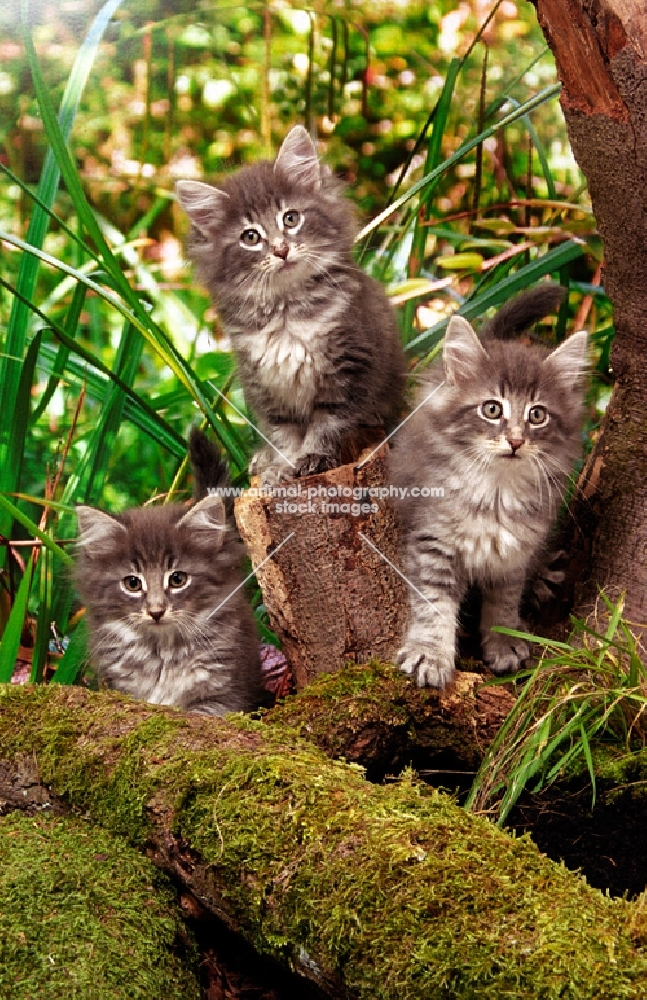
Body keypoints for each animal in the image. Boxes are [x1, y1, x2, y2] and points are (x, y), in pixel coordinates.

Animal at [175, 125, 408, 484]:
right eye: (250, 237)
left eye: (291, 218)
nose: (281, 250)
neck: (285, 312)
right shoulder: (266, 388)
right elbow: (282, 434)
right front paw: (280, 467)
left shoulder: (347, 368)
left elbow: (326, 425)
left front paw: (310, 458)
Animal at [390, 282, 592, 688]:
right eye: (492, 409)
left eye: (537, 415)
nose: (515, 441)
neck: (496, 492)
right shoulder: (432, 539)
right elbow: (434, 606)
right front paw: (429, 655)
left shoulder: (515, 549)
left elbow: (504, 600)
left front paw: (504, 641)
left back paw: (541, 574)